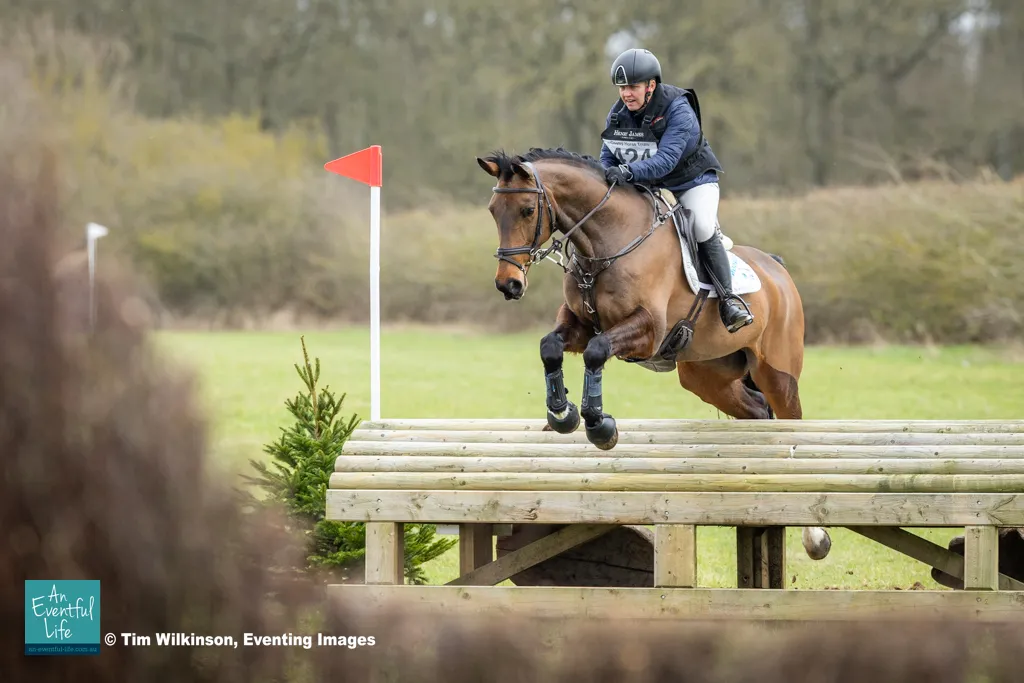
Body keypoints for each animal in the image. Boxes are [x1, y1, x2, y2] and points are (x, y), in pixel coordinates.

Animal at [476, 146, 832, 562]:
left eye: (527, 211)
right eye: (492, 210)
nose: (509, 284)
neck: (606, 244)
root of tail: (776, 268)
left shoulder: (645, 331)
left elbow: (597, 352)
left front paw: (600, 425)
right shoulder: (578, 324)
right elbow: (550, 347)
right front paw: (562, 414)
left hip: (776, 370)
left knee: (791, 421)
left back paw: (815, 537)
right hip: (706, 376)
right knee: (758, 413)